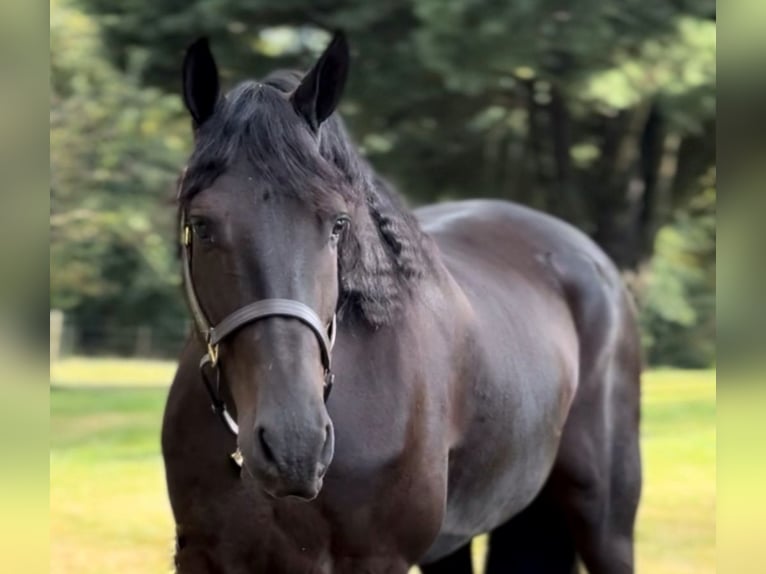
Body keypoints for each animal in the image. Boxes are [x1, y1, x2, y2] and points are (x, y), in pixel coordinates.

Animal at [162, 31, 642, 574]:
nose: (294, 445)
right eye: (200, 224)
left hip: (605, 519)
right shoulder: (203, 557)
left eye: (337, 224)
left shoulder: (378, 558)